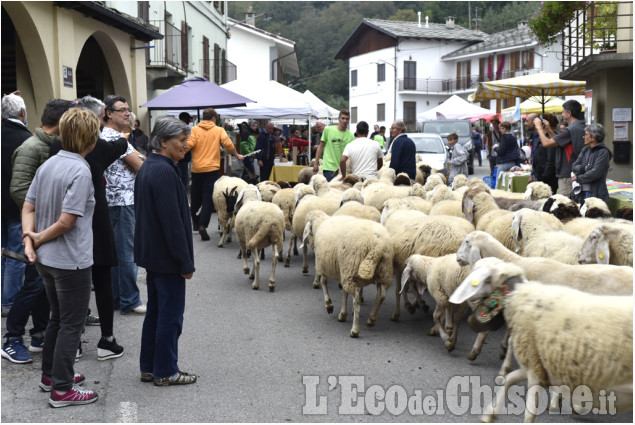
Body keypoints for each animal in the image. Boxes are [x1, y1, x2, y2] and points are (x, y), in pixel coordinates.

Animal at [450, 256, 632, 422]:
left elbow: (529, 412)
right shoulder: (536, 366)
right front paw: (490, 413)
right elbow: (510, 379)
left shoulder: (535, 369)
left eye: (477, 274)